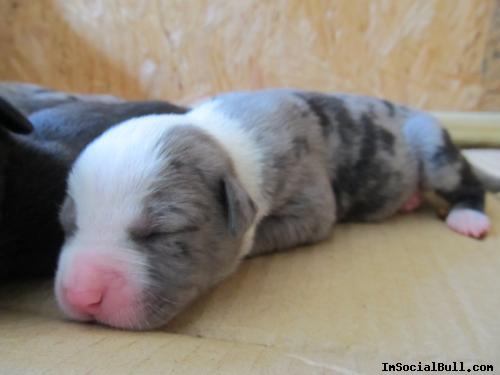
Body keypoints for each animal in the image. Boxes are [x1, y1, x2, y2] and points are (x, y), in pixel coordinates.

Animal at [55, 89, 496, 330]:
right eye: (68, 226)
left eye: (161, 233)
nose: (81, 295)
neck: (223, 138)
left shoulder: (312, 206)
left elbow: (264, 231)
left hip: (432, 148)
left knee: (468, 184)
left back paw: (468, 217)